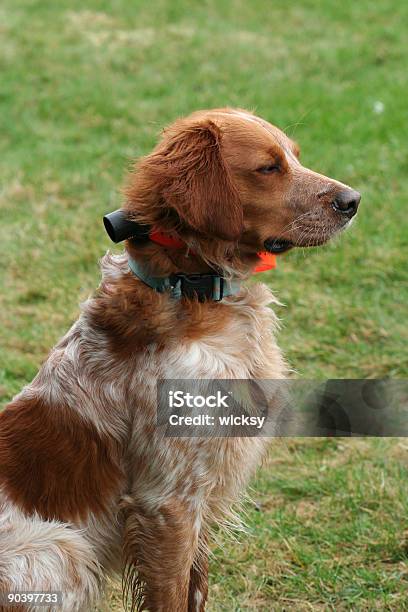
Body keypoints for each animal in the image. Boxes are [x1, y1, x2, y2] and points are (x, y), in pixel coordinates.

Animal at [0, 107, 360, 608]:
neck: (193, 293)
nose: (354, 201)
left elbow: (196, 589)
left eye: (295, 157)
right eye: (269, 167)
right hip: (62, 548)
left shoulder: (198, 500)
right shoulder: (167, 502)